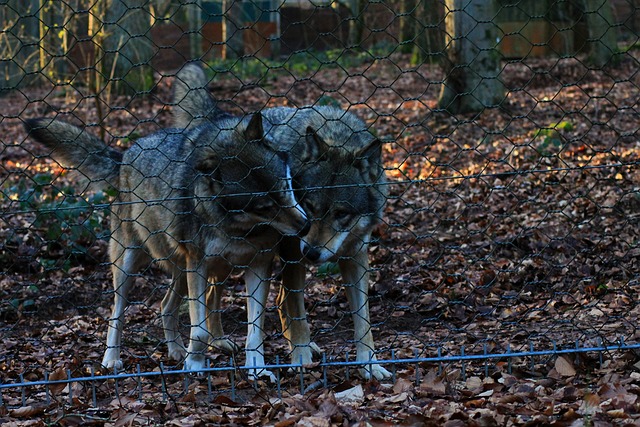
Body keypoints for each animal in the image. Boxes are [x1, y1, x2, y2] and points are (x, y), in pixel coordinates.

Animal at [25, 113, 312, 374]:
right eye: (264, 207)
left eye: (286, 186)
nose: (305, 227)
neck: (241, 229)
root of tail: (125, 156)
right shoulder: (199, 266)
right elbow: (200, 332)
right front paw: (195, 365)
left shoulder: (258, 266)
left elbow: (255, 331)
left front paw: (257, 369)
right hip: (131, 267)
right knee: (116, 313)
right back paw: (112, 359)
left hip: (188, 272)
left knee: (165, 306)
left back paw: (175, 350)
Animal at [172, 61, 392, 380]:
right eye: (309, 205)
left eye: (341, 214)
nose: (311, 252)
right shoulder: (292, 255)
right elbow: (297, 311)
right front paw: (300, 358)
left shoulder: (355, 257)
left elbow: (363, 320)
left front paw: (370, 364)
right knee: (220, 295)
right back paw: (221, 342)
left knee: (258, 299)